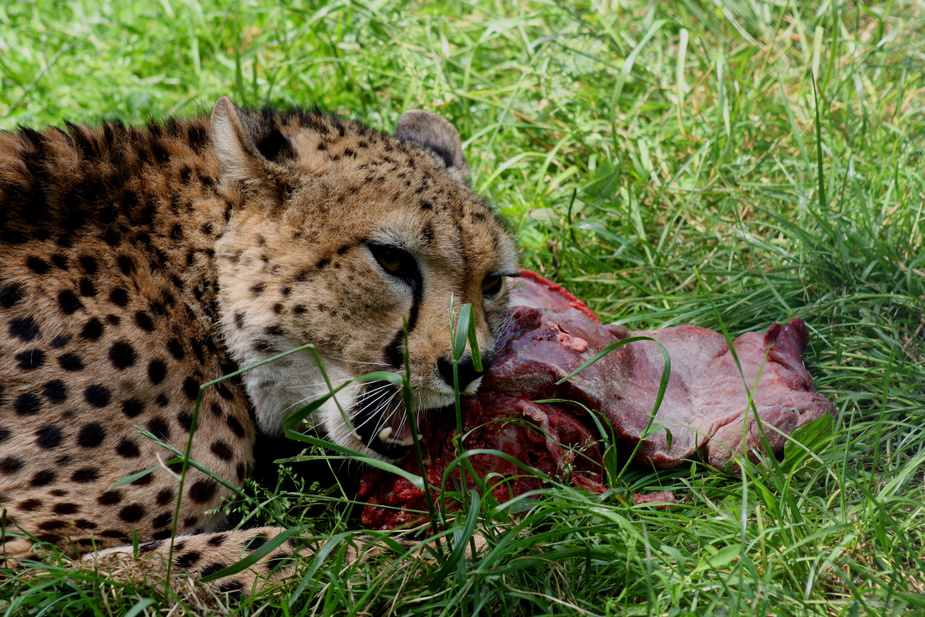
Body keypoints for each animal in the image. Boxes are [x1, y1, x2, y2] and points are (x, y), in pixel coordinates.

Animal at [0, 97, 520, 592]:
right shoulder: (32, 564)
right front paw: (483, 544)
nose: (469, 367)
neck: (187, 278)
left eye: (493, 283)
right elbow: (288, 550)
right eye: (390, 258)